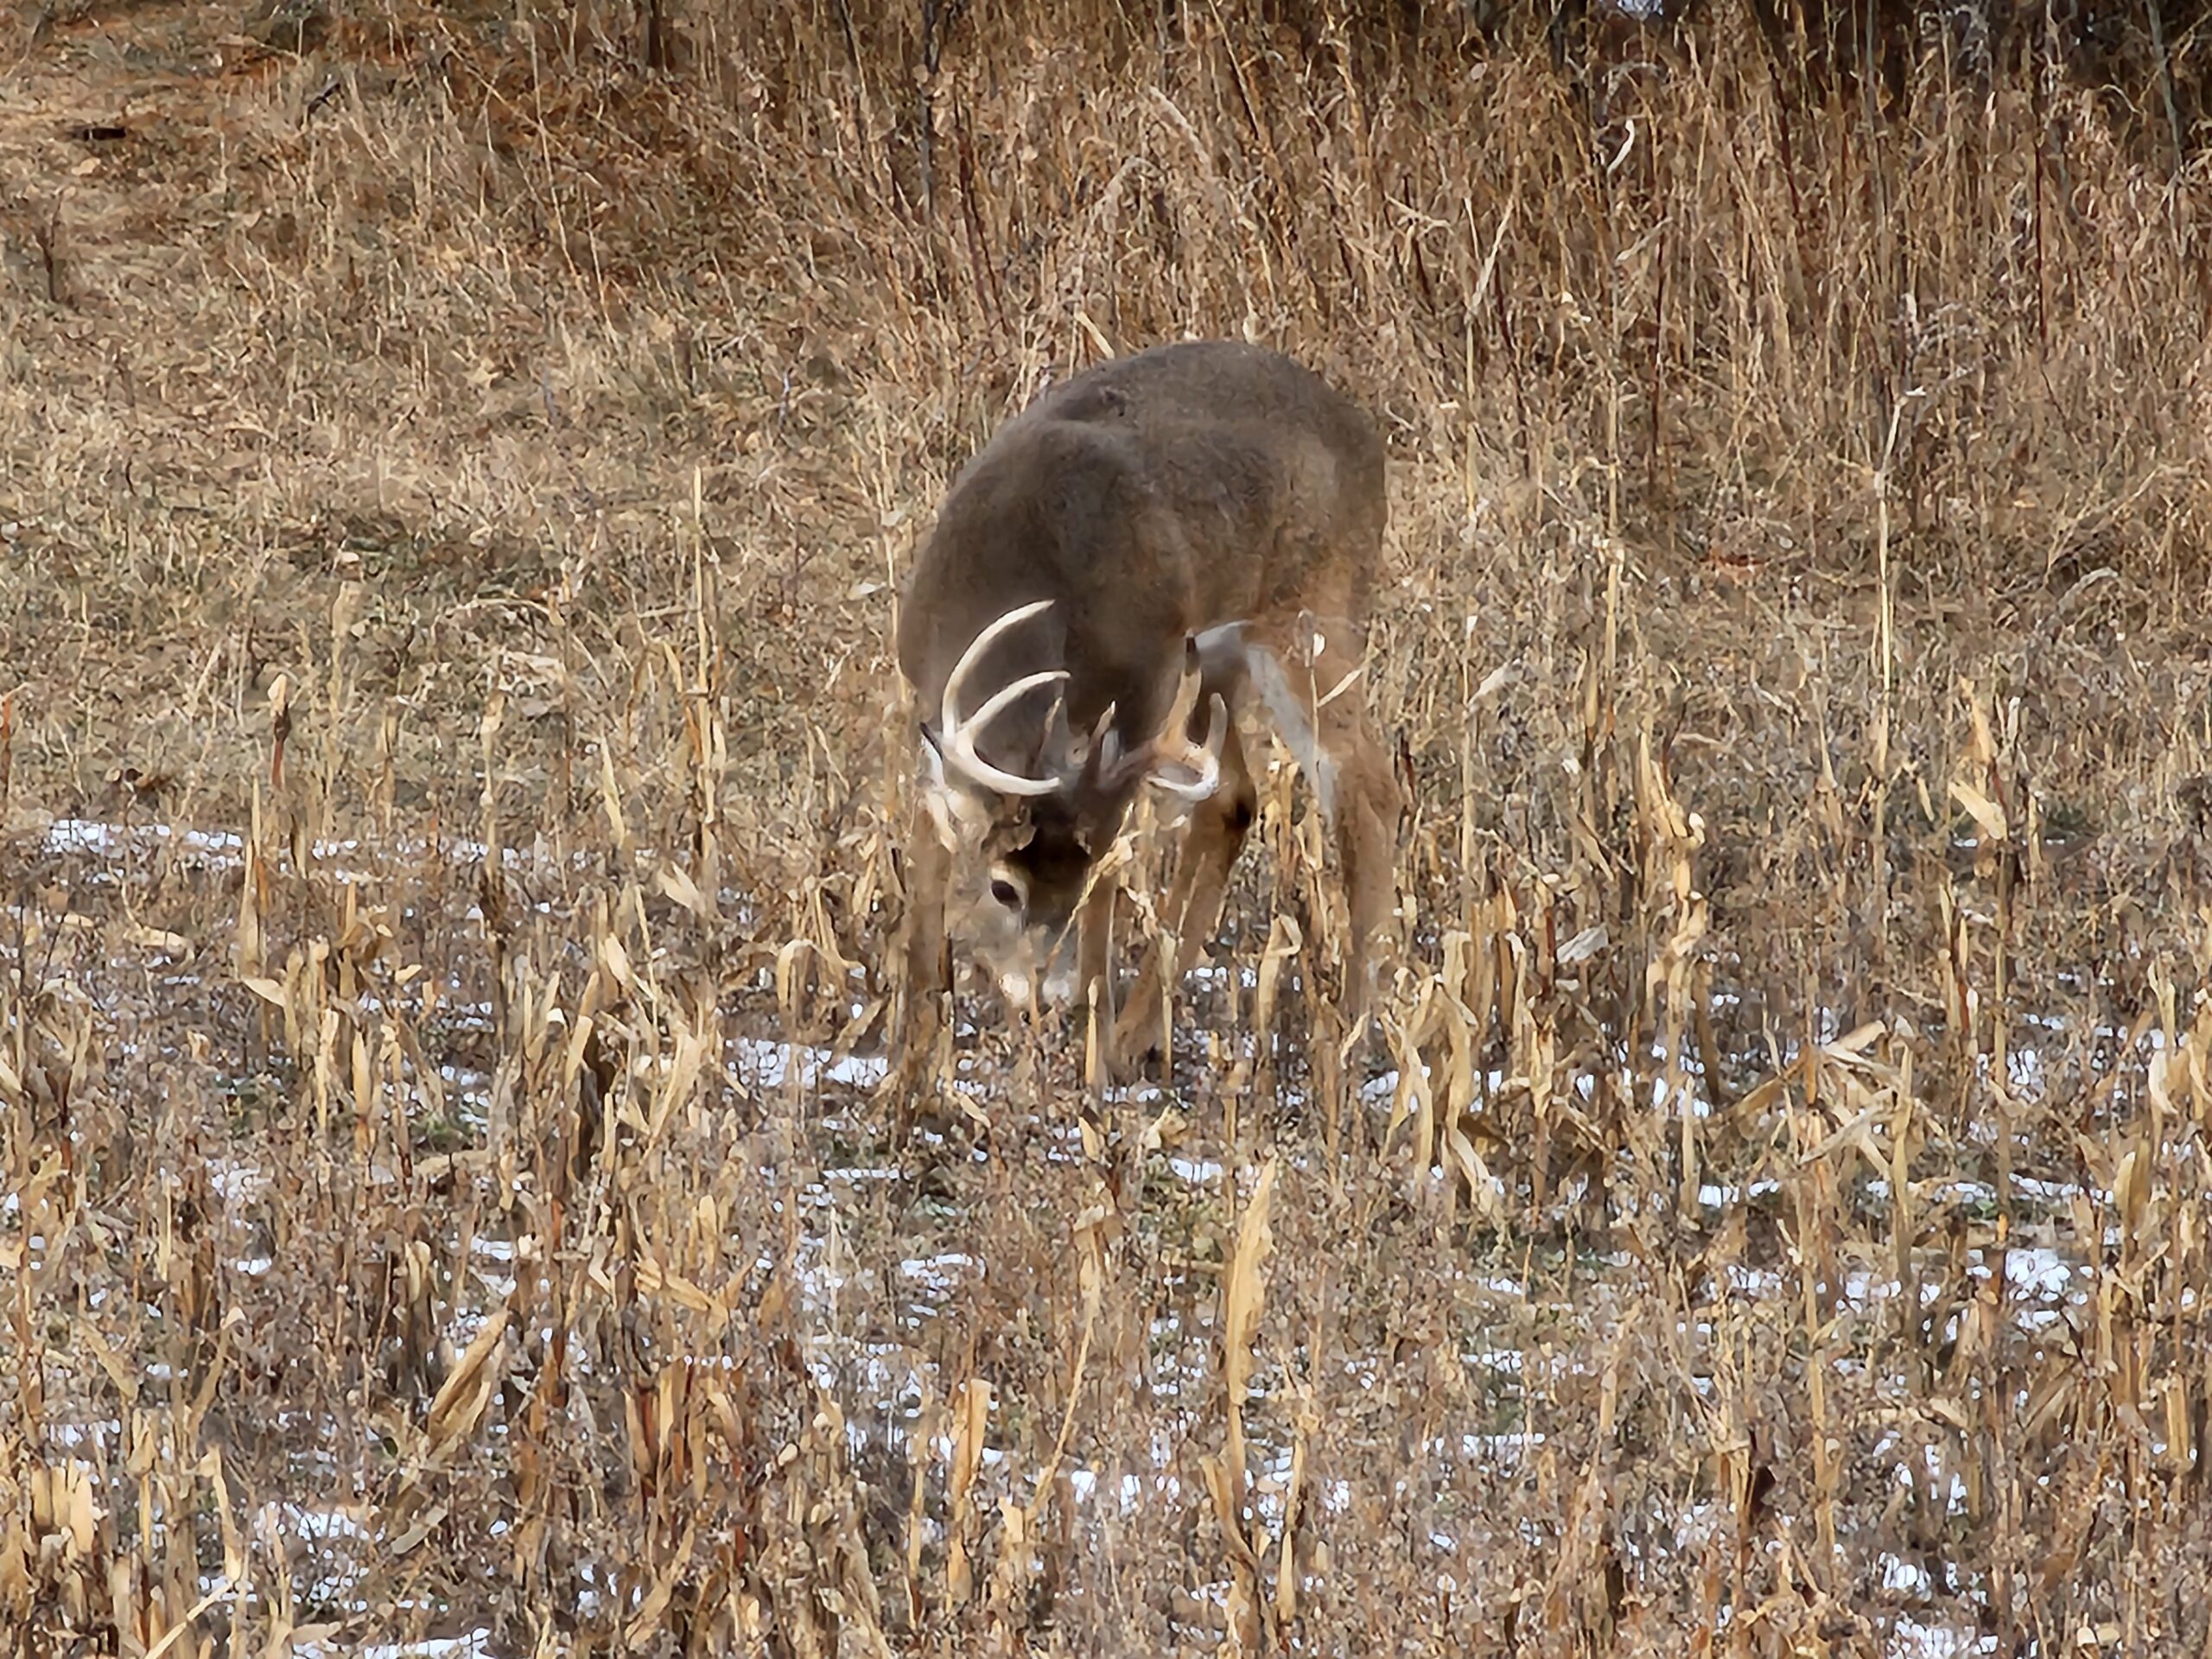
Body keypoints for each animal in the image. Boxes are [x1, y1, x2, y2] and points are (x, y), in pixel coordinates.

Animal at [885, 338, 1389, 1092]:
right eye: (1004, 888)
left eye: (1073, 883)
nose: (1046, 991)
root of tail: (1368, 441)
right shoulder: (928, 699)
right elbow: (928, 857)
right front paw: (913, 1064)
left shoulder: (1141, 699)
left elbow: (1109, 874)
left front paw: (1091, 1043)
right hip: (1218, 660)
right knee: (1236, 801)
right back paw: (1141, 1035)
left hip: (1312, 621)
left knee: (1369, 791)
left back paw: (1349, 1035)